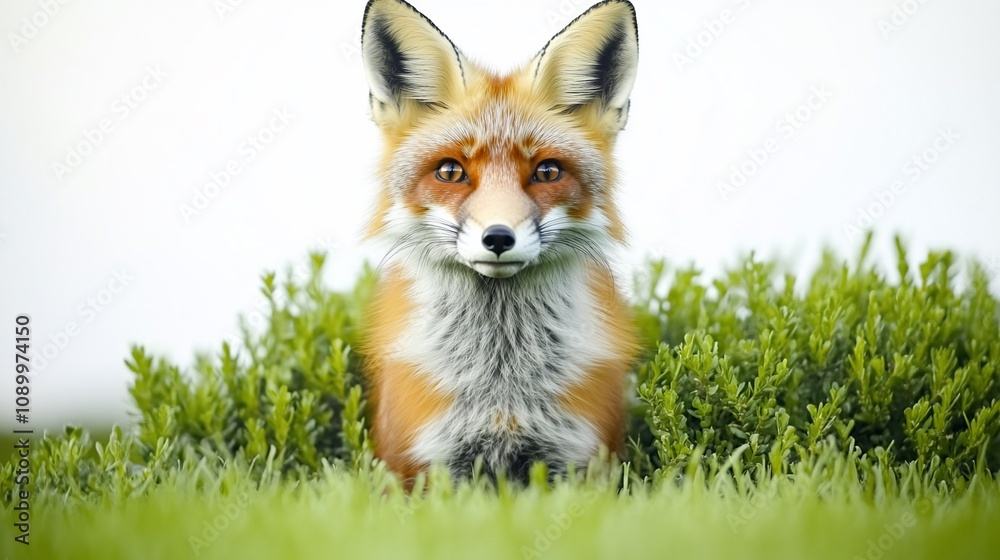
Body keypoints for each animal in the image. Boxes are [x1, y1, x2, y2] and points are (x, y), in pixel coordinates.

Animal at [359, 0, 640, 483]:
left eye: (547, 171)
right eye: (450, 171)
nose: (497, 237)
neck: (501, 382)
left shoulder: (581, 460)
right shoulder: (420, 465)